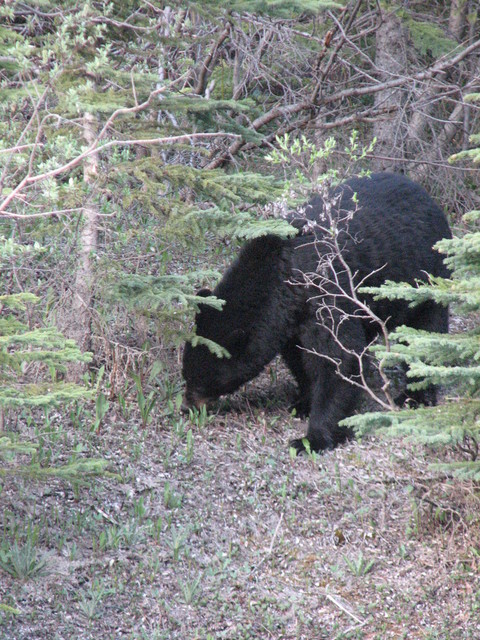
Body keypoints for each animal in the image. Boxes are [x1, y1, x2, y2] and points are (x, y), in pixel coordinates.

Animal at [182, 172, 452, 452]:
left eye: (202, 380)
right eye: (186, 374)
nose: (185, 407)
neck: (281, 276)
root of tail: (427, 196)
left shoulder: (324, 294)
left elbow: (339, 356)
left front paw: (311, 439)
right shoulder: (290, 319)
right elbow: (300, 357)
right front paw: (303, 402)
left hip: (425, 277)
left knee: (426, 332)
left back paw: (415, 396)